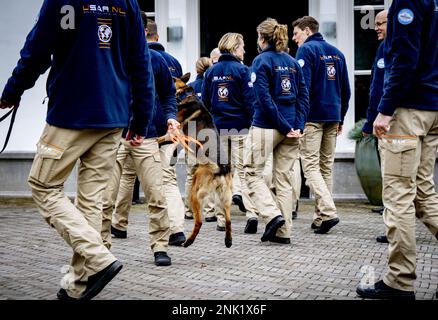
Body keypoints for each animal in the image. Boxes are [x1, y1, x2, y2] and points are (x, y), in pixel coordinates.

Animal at [157, 72, 233, 248]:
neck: (184, 93)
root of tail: (221, 168)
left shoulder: (173, 132)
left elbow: (160, 138)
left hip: (194, 193)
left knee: (199, 221)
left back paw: (188, 241)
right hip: (224, 197)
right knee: (228, 219)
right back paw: (228, 240)